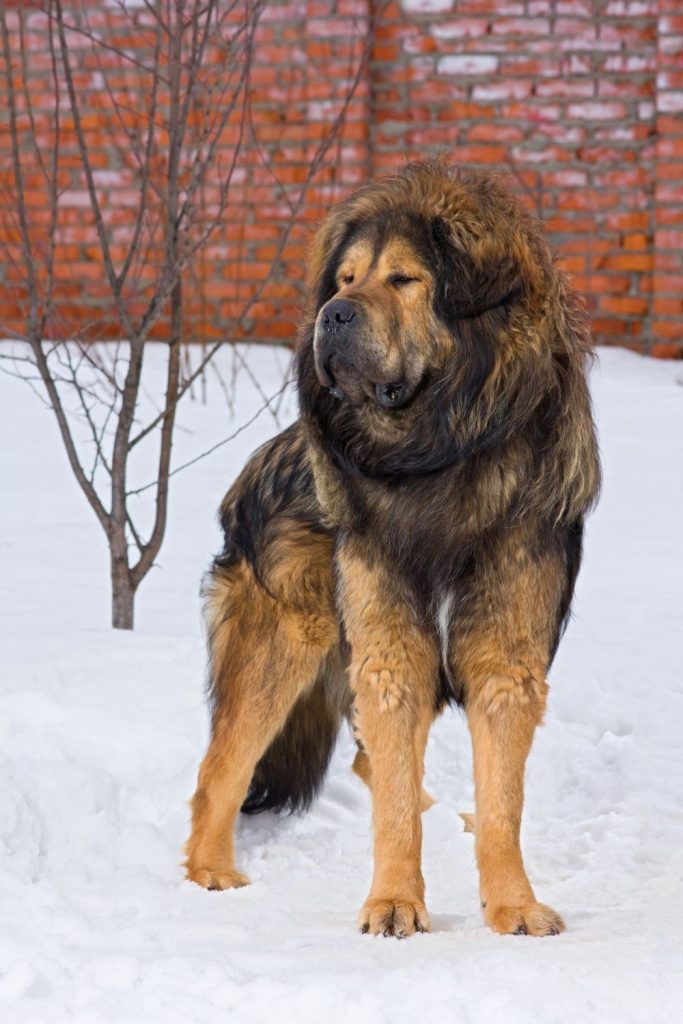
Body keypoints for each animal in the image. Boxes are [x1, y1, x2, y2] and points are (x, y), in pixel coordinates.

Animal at [184, 159, 602, 937]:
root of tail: (257, 465)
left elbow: (500, 802)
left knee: (364, 766)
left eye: (405, 279)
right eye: (346, 280)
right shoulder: (391, 647)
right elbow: (395, 801)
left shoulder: (504, 655)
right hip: (284, 640)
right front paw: (394, 903)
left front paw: (511, 903)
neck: (435, 453)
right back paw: (210, 872)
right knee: (220, 768)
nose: (333, 314)